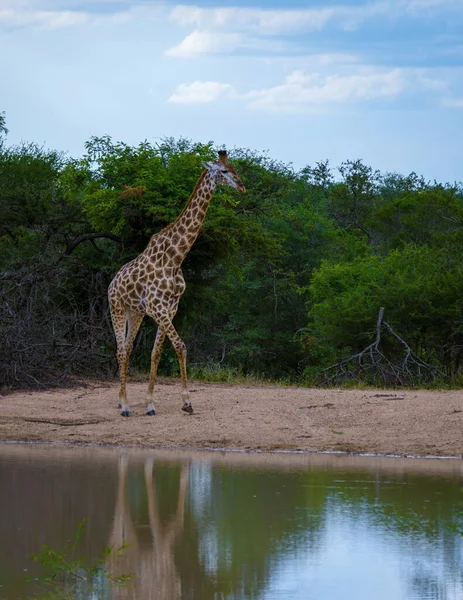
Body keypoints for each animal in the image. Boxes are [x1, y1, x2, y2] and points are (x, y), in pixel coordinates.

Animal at [109, 150, 246, 414]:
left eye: (234, 168)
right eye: (223, 171)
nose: (242, 186)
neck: (175, 257)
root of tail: (111, 282)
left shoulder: (170, 308)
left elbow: (156, 353)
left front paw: (151, 403)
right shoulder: (158, 308)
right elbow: (181, 346)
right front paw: (187, 401)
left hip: (135, 312)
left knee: (127, 349)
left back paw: (123, 400)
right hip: (117, 308)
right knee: (120, 351)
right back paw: (125, 406)